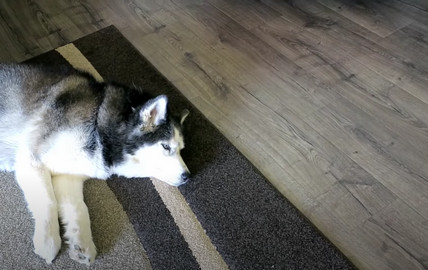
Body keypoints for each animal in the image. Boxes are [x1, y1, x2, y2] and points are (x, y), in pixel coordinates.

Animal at [0, 64, 189, 264]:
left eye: (181, 149)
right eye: (166, 146)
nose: (188, 176)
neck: (99, 124)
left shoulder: (68, 176)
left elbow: (79, 208)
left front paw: (81, 243)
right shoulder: (31, 158)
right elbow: (49, 201)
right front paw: (48, 241)